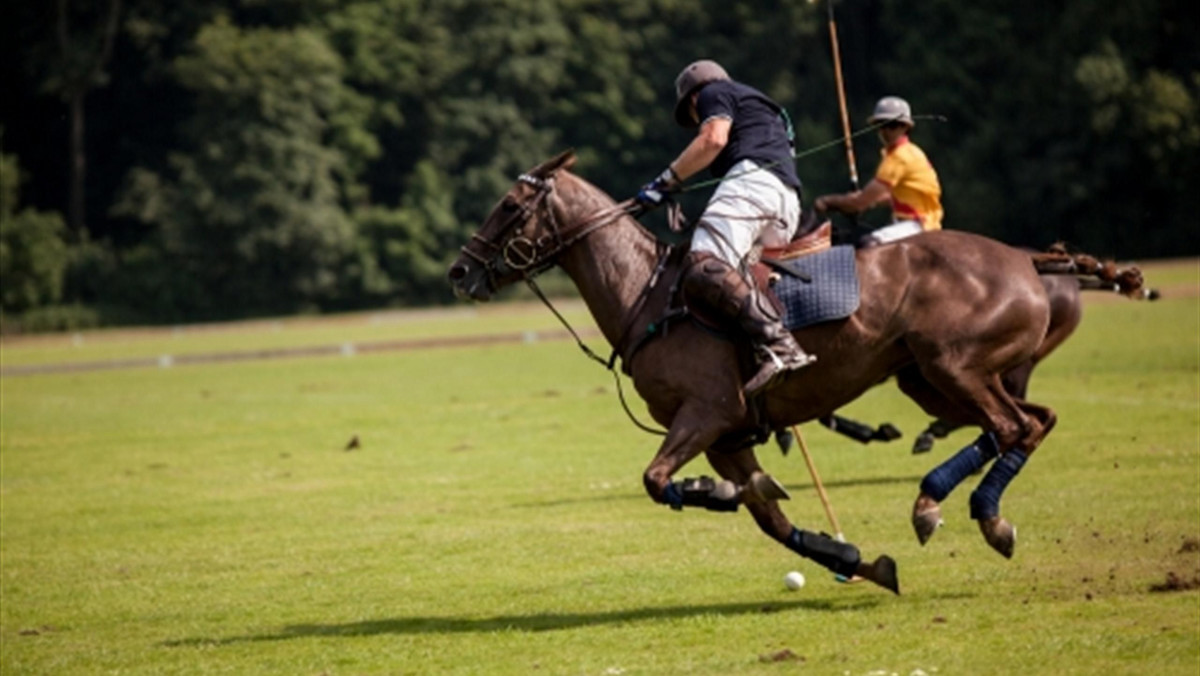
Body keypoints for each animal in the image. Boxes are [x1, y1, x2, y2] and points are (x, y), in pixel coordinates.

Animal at [446, 150, 1137, 595]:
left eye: (509, 205)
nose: (458, 271)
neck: (648, 294)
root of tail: (1026, 258)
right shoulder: (726, 435)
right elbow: (771, 520)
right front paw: (856, 559)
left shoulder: (708, 413)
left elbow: (660, 480)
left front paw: (716, 492)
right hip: (929, 377)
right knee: (1032, 420)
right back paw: (948, 505)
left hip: (952, 366)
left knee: (1014, 425)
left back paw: (961, 511)